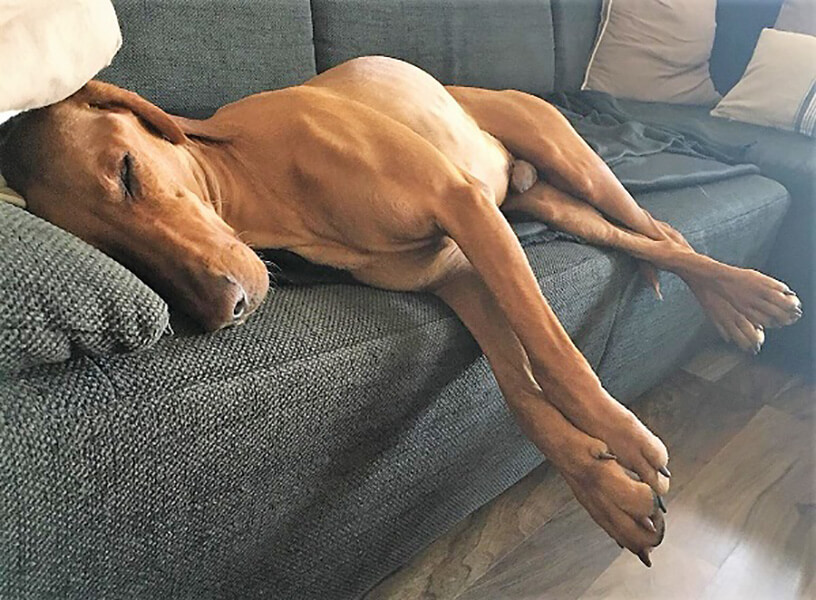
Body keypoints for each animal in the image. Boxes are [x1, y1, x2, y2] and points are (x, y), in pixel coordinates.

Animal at [0, 56, 802, 566]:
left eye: (127, 172)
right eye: (114, 251)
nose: (224, 309)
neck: (260, 182)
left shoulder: (465, 209)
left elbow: (552, 348)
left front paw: (624, 437)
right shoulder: (457, 273)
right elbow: (520, 389)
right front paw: (603, 487)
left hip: (570, 159)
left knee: (659, 229)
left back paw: (750, 299)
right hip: (548, 206)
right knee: (653, 240)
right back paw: (737, 305)